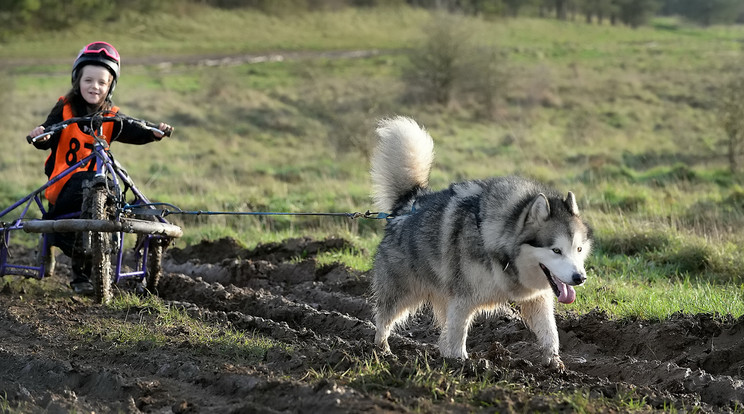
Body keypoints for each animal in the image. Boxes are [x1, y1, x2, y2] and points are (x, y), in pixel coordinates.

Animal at [372, 115, 592, 368]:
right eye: (556, 250)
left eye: (578, 249)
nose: (580, 278)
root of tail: (409, 202)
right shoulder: (463, 299)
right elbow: (458, 334)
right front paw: (461, 363)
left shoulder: (537, 299)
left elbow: (550, 333)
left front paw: (555, 364)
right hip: (402, 292)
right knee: (384, 319)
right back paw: (382, 350)